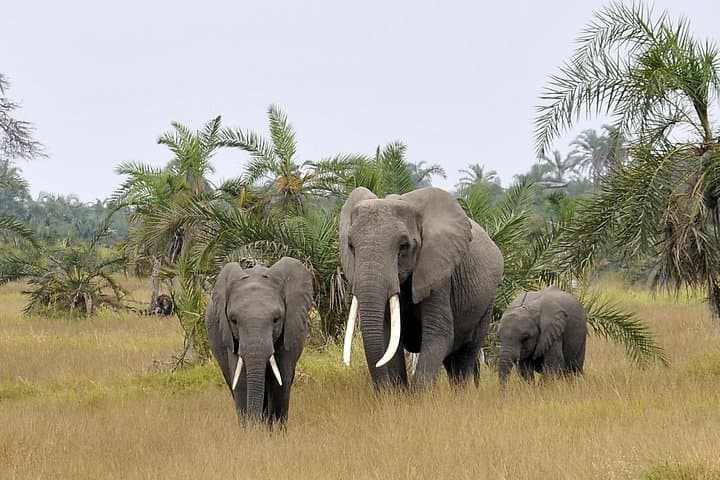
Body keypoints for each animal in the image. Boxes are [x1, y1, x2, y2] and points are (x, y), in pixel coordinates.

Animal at [205, 257, 313, 426]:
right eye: (233, 320)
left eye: (276, 319)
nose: (256, 423)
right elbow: (241, 381)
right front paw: (251, 430)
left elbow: (280, 381)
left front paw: (274, 431)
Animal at [340, 186, 504, 389]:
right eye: (350, 246)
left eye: (403, 246)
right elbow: (388, 336)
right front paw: (396, 393)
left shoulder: (439, 273)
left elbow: (438, 334)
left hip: (487, 302)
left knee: (466, 355)